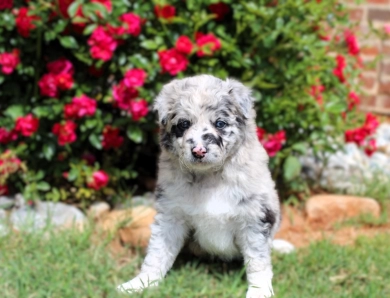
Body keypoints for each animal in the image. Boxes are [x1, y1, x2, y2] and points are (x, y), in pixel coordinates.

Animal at [116, 74, 280, 298]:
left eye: (220, 123)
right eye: (184, 124)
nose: (199, 151)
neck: (209, 176)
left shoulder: (255, 217)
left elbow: (258, 263)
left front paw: (259, 292)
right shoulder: (171, 214)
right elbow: (157, 253)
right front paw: (140, 283)